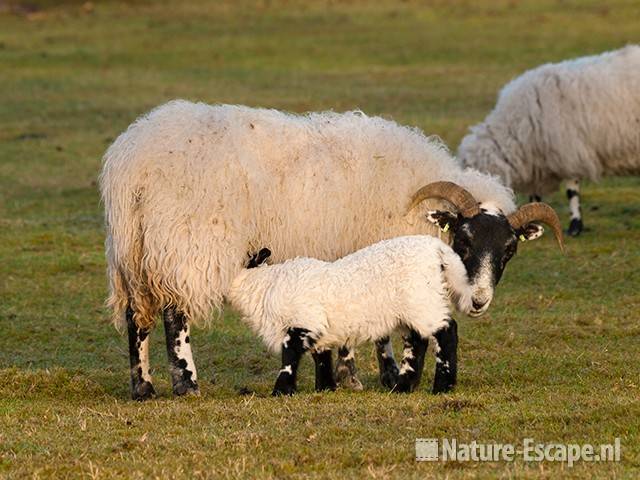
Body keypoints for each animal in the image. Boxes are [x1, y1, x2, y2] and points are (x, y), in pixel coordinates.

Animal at [229, 234, 476, 396]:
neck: (266, 286)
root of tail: (437, 249)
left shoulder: (304, 321)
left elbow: (289, 356)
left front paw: (282, 390)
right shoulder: (319, 327)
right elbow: (321, 355)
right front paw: (326, 387)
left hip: (422, 301)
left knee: (446, 332)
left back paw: (442, 387)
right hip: (412, 309)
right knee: (417, 341)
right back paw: (403, 386)